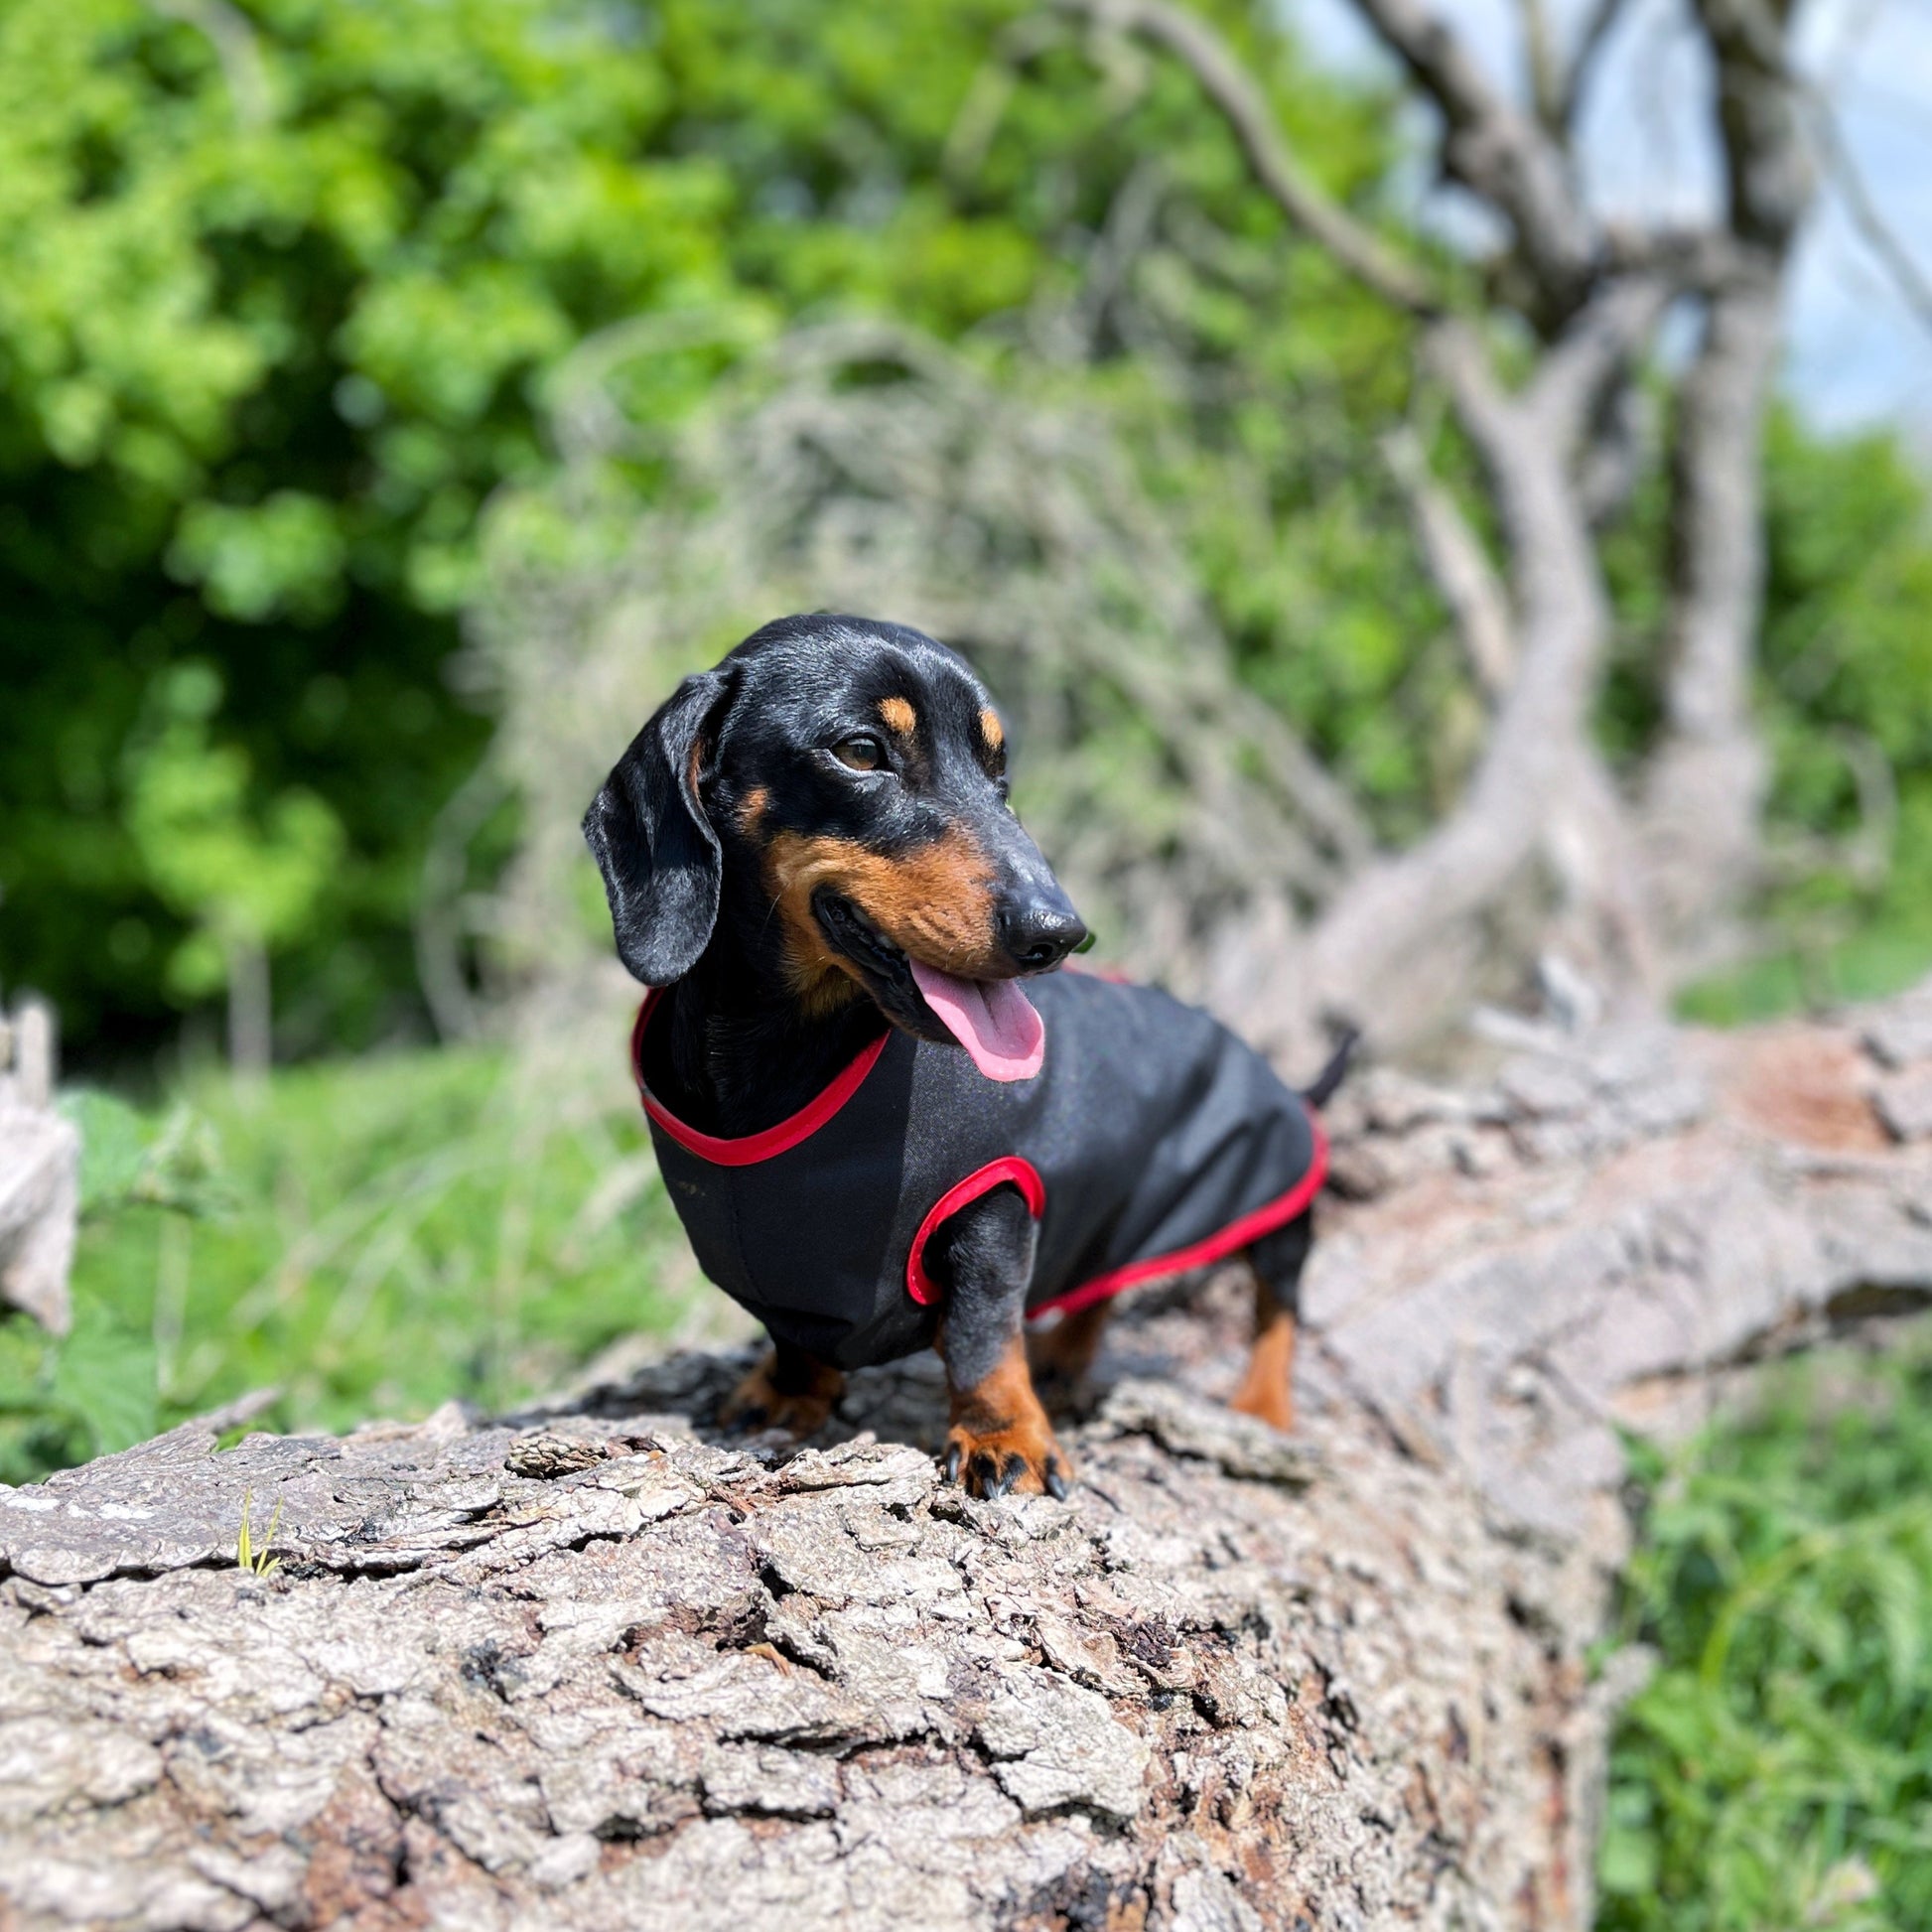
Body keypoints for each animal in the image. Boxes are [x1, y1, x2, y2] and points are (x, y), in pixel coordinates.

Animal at [583, 610, 1344, 1499]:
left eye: (997, 769)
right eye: (861, 751)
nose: (1060, 934)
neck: (785, 1059)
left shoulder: (995, 1204)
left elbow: (985, 1333)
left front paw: (1003, 1435)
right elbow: (793, 1333)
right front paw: (788, 1392)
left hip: (1279, 1196)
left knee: (1277, 1306)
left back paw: (1261, 1408)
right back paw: (1067, 1361)